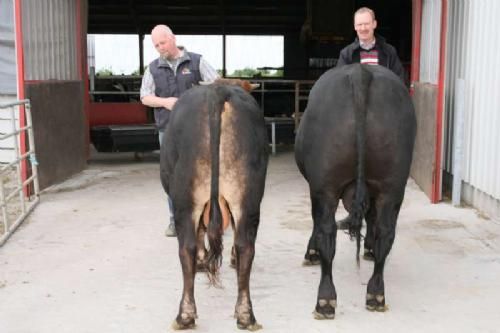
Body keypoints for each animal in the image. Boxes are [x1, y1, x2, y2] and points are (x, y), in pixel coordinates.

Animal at [161, 78, 270, 330]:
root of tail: (218, 90)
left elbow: (200, 234)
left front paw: (202, 261)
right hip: (249, 197)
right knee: (246, 245)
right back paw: (245, 315)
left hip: (185, 200)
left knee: (187, 248)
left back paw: (185, 316)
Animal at [294, 63, 416, 318]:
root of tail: (362, 72)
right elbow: (372, 220)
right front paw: (368, 248)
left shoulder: (316, 188)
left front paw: (311, 253)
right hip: (393, 186)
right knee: (385, 232)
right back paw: (376, 293)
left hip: (325, 186)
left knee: (326, 231)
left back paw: (325, 300)